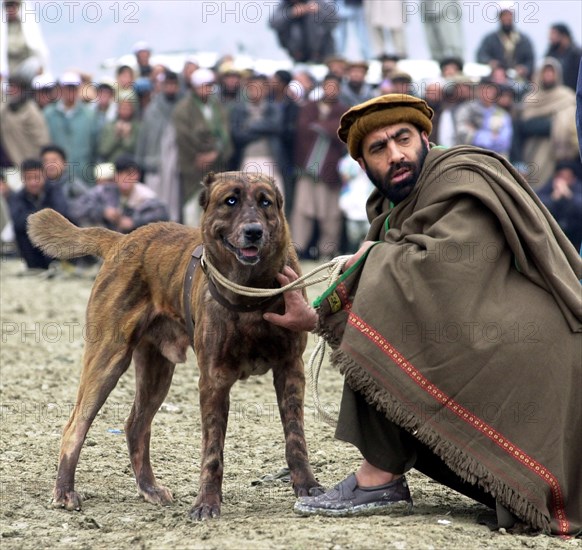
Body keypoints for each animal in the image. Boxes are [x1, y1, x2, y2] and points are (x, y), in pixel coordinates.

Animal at [27, 172, 324, 520]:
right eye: (231, 201)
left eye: (265, 202)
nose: (254, 231)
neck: (249, 291)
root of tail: (122, 240)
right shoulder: (213, 380)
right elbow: (212, 450)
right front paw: (207, 503)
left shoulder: (290, 368)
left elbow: (295, 437)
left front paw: (307, 486)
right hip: (107, 357)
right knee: (76, 423)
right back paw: (64, 491)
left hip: (156, 369)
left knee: (136, 425)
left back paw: (149, 488)